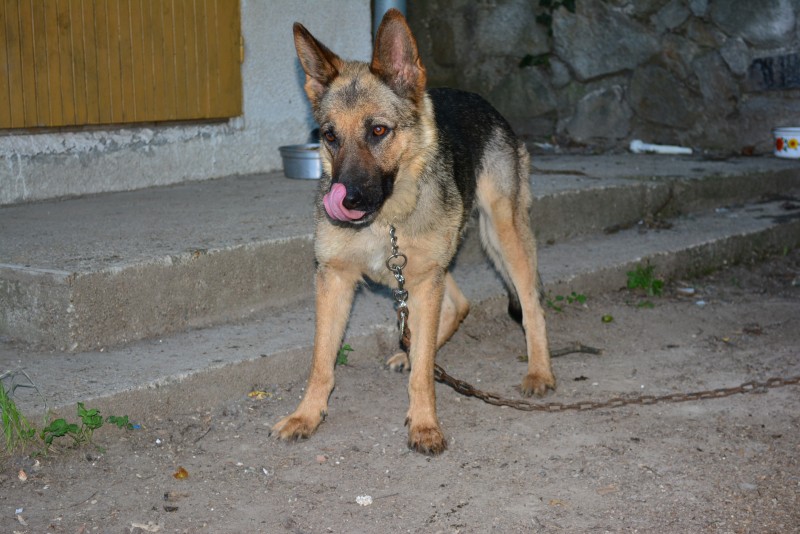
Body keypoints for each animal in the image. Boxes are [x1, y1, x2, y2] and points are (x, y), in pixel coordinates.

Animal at [271, 9, 555, 454]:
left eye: (378, 131)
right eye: (330, 136)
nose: (345, 200)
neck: (385, 221)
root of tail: (481, 100)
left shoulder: (422, 281)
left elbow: (421, 375)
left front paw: (424, 425)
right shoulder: (336, 279)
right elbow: (320, 362)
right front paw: (306, 415)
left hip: (503, 235)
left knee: (531, 305)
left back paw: (539, 372)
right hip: (428, 265)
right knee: (457, 305)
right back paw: (413, 351)